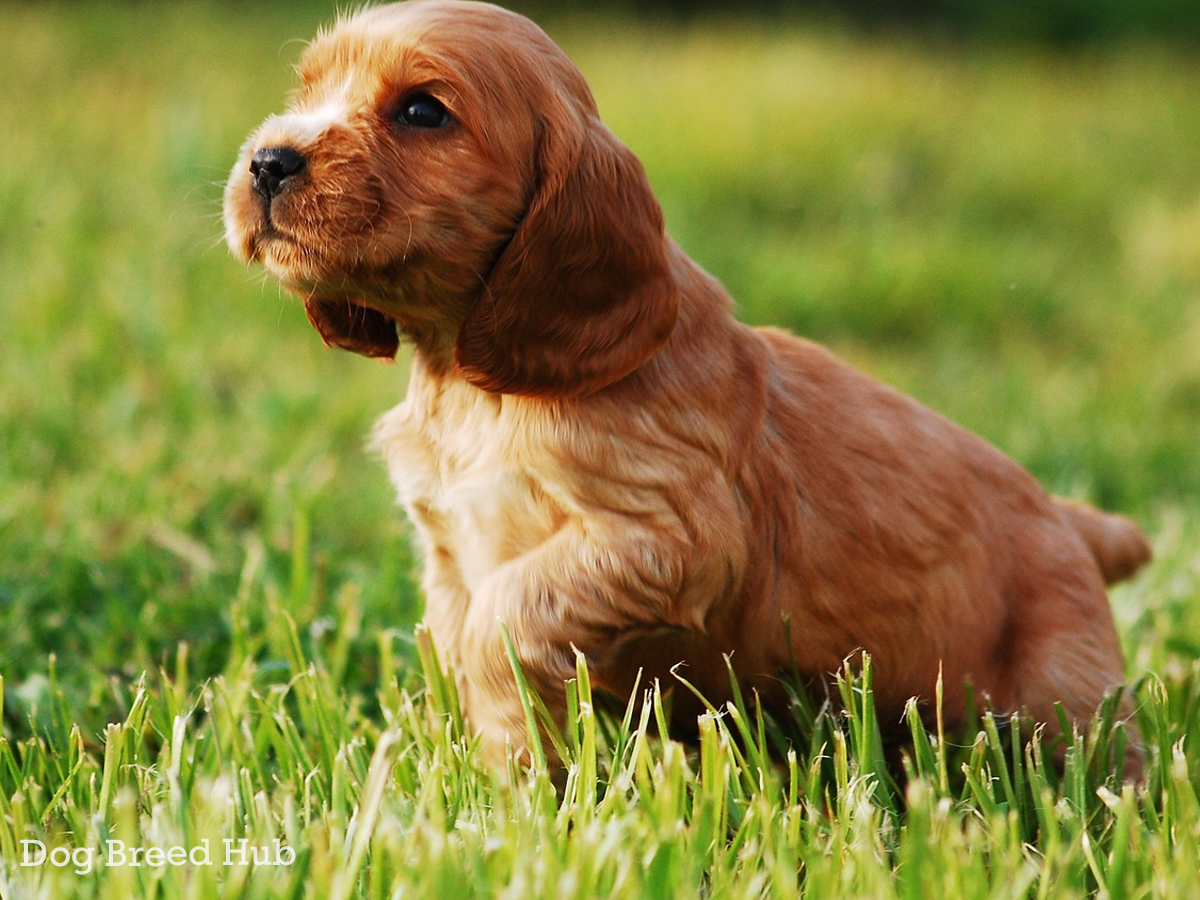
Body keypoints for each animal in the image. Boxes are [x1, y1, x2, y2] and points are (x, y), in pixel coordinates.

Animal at [225, 0, 1152, 772]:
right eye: (308, 88)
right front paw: (493, 783)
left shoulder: (671, 537)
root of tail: (1074, 522)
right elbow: (463, 648)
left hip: (1062, 698)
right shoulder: (451, 551)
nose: (267, 161)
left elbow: (501, 624)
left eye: (422, 110)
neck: (471, 388)